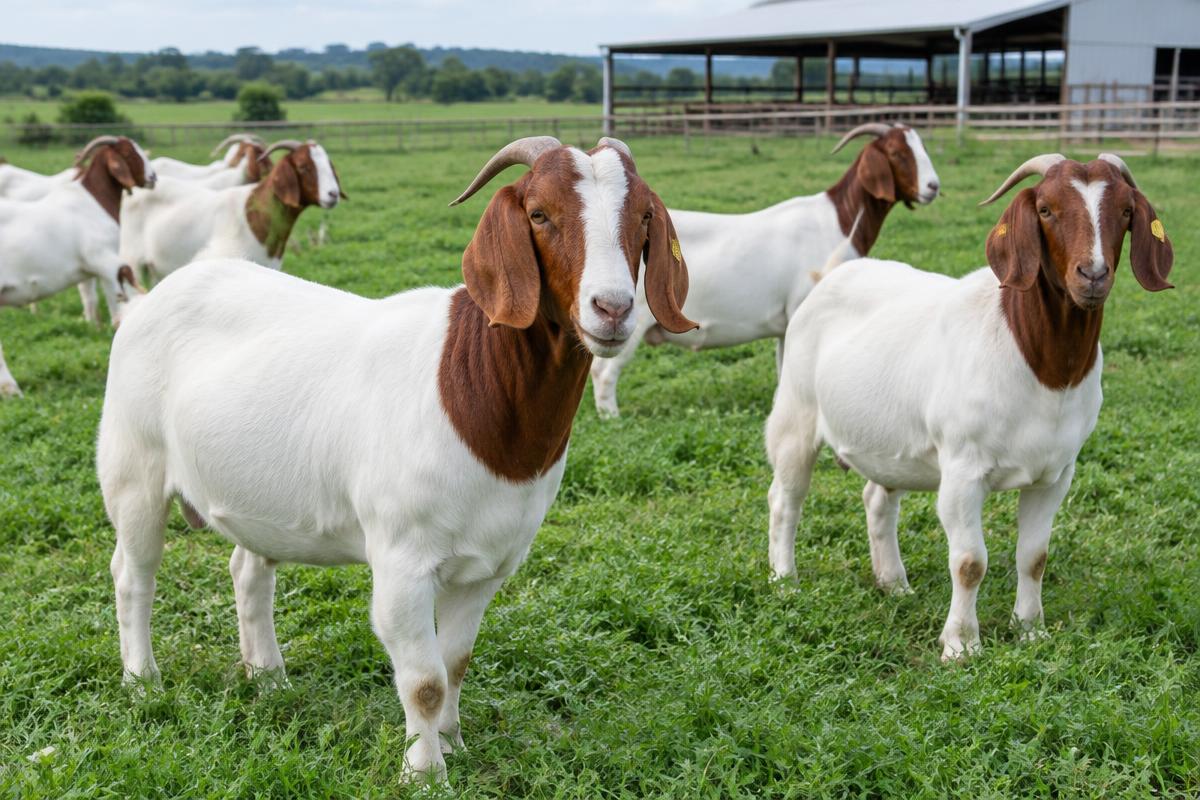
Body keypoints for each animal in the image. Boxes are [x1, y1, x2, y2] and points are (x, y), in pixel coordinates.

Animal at [0, 136, 154, 397]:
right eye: (128, 152)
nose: (153, 177)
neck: (93, 203)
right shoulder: (104, 261)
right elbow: (117, 303)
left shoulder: (87, 270)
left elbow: (90, 299)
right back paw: (11, 389)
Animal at [590, 122, 940, 417]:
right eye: (896, 153)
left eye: (922, 146)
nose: (933, 186)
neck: (838, 222)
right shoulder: (804, 305)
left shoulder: (788, 323)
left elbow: (785, 369)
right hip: (630, 320)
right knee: (604, 372)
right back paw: (612, 419)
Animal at [764, 153, 1173, 660]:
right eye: (1046, 209)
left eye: (1125, 211)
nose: (1093, 275)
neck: (1041, 366)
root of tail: (834, 273)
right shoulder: (962, 469)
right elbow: (969, 562)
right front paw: (961, 645)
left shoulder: (1056, 473)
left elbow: (1034, 557)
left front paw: (1030, 629)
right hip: (795, 414)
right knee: (785, 498)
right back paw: (785, 581)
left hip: (889, 440)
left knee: (877, 498)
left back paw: (893, 583)